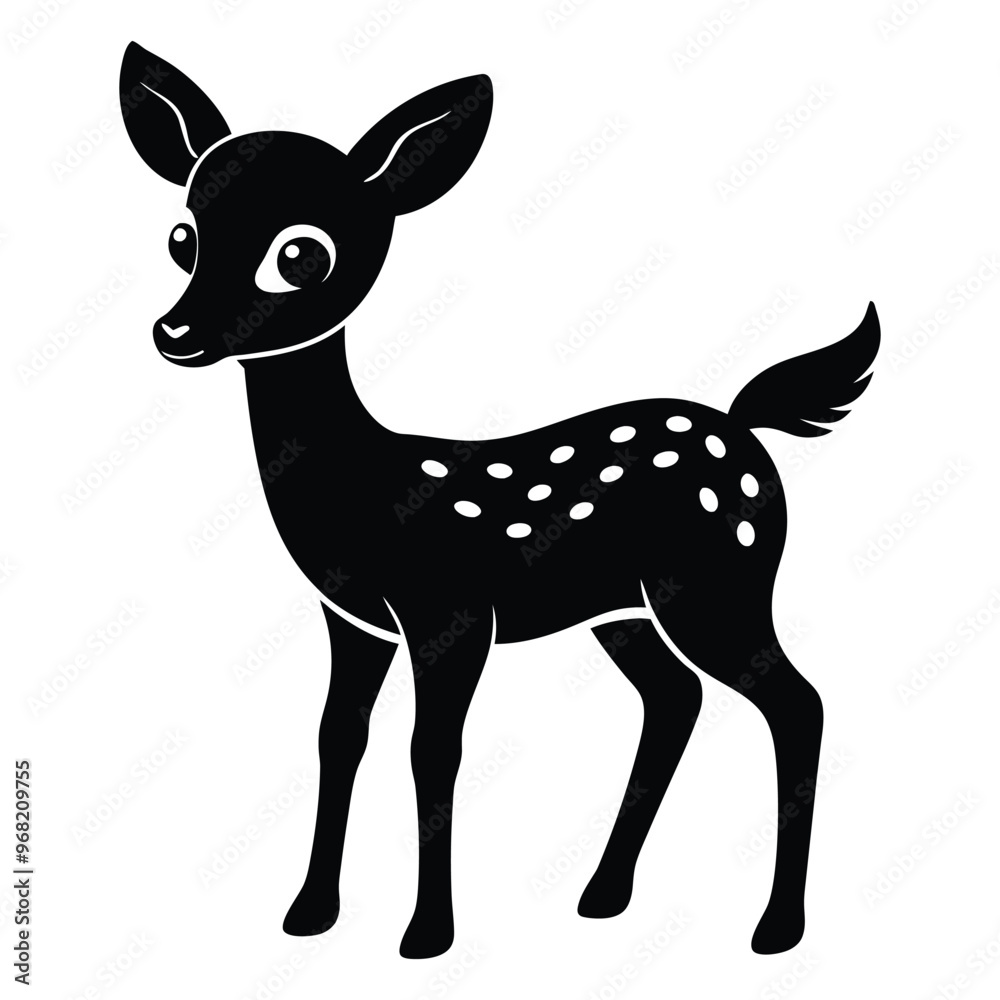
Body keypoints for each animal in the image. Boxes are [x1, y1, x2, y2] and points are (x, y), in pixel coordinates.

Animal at [119, 42, 880, 959]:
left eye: (301, 255)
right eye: (182, 237)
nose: (175, 333)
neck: (361, 481)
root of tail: (741, 423)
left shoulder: (448, 610)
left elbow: (432, 749)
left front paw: (426, 934)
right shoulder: (352, 618)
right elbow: (339, 738)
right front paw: (309, 913)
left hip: (716, 584)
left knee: (796, 704)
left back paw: (777, 928)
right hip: (624, 610)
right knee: (675, 700)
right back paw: (604, 894)